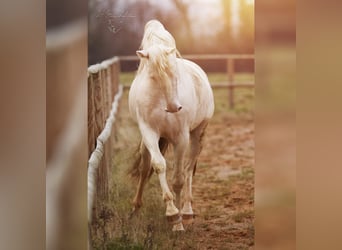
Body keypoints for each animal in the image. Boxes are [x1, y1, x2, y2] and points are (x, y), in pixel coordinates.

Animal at [128, 20, 214, 231]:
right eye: (153, 77)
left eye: (175, 74)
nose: (174, 107)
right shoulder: (149, 133)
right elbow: (159, 166)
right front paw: (172, 213)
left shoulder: (181, 138)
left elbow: (178, 179)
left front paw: (179, 222)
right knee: (145, 168)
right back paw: (136, 208)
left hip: (197, 134)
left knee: (189, 169)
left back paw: (188, 212)